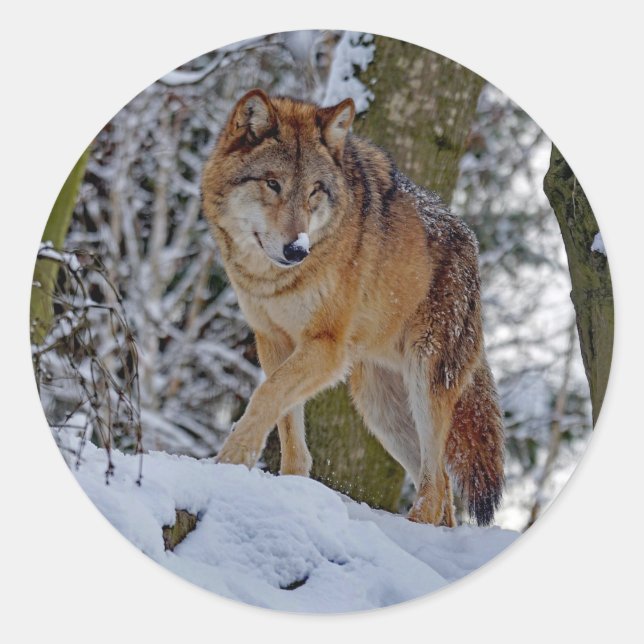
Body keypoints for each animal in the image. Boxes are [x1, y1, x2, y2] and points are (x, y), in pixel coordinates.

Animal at [201, 89, 504, 526]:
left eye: (314, 190)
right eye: (272, 183)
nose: (297, 250)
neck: (274, 281)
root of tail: (471, 244)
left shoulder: (326, 347)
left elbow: (265, 397)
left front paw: (231, 460)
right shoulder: (273, 342)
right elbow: (286, 421)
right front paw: (289, 486)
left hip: (424, 382)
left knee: (435, 485)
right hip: (380, 407)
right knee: (444, 488)